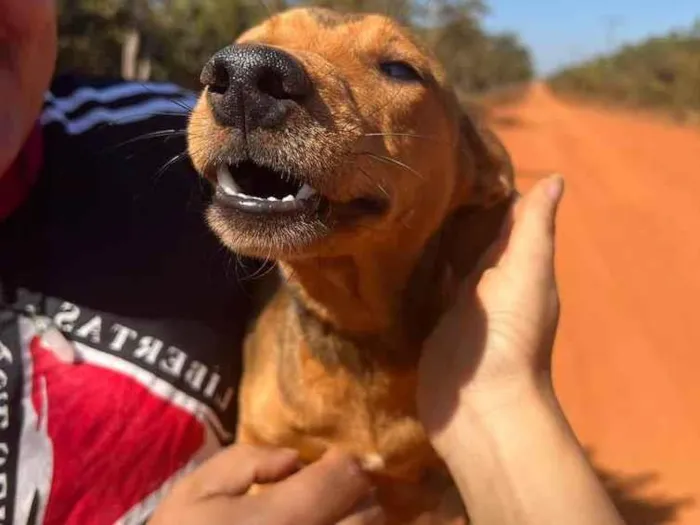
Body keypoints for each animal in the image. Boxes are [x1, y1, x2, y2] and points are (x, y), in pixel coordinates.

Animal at [186, 6, 516, 520]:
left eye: (400, 69)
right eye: (246, 41)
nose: (243, 74)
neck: (354, 329)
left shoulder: (425, 489)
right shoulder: (266, 447)